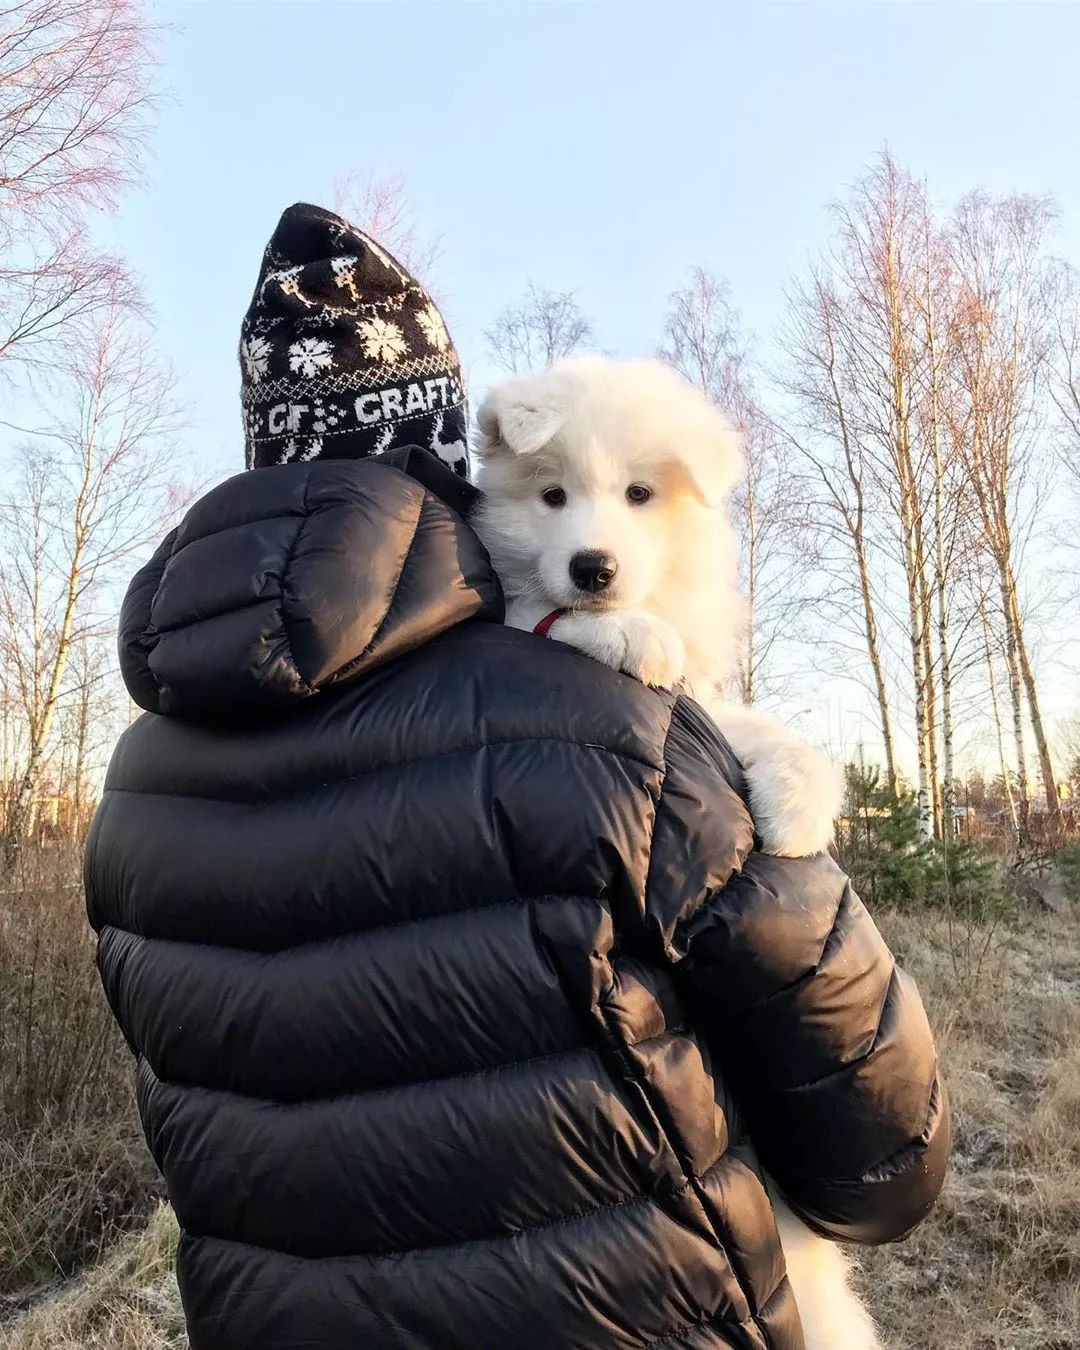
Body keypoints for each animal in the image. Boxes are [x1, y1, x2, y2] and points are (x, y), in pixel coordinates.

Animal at [472, 356, 874, 1350]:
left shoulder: (707, 700)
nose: (593, 567)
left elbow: (761, 732)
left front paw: (800, 807)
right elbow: (544, 616)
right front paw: (624, 633)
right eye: (552, 496)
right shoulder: (526, 615)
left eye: (639, 494)